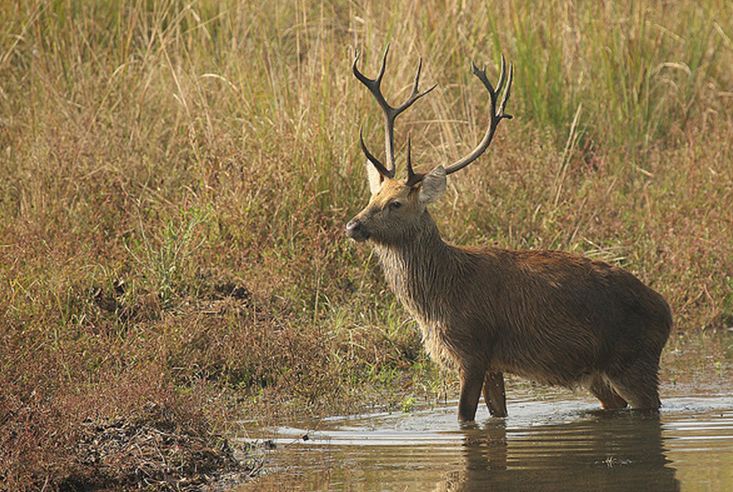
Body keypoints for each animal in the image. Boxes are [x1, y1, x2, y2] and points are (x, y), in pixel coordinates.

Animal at [345, 47, 672, 422]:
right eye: (373, 196)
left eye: (396, 203)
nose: (353, 225)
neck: (437, 299)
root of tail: (667, 313)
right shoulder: (493, 363)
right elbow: (497, 415)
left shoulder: (473, 350)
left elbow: (464, 417)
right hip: (598, 373)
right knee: (614, 404)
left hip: (633, 360)